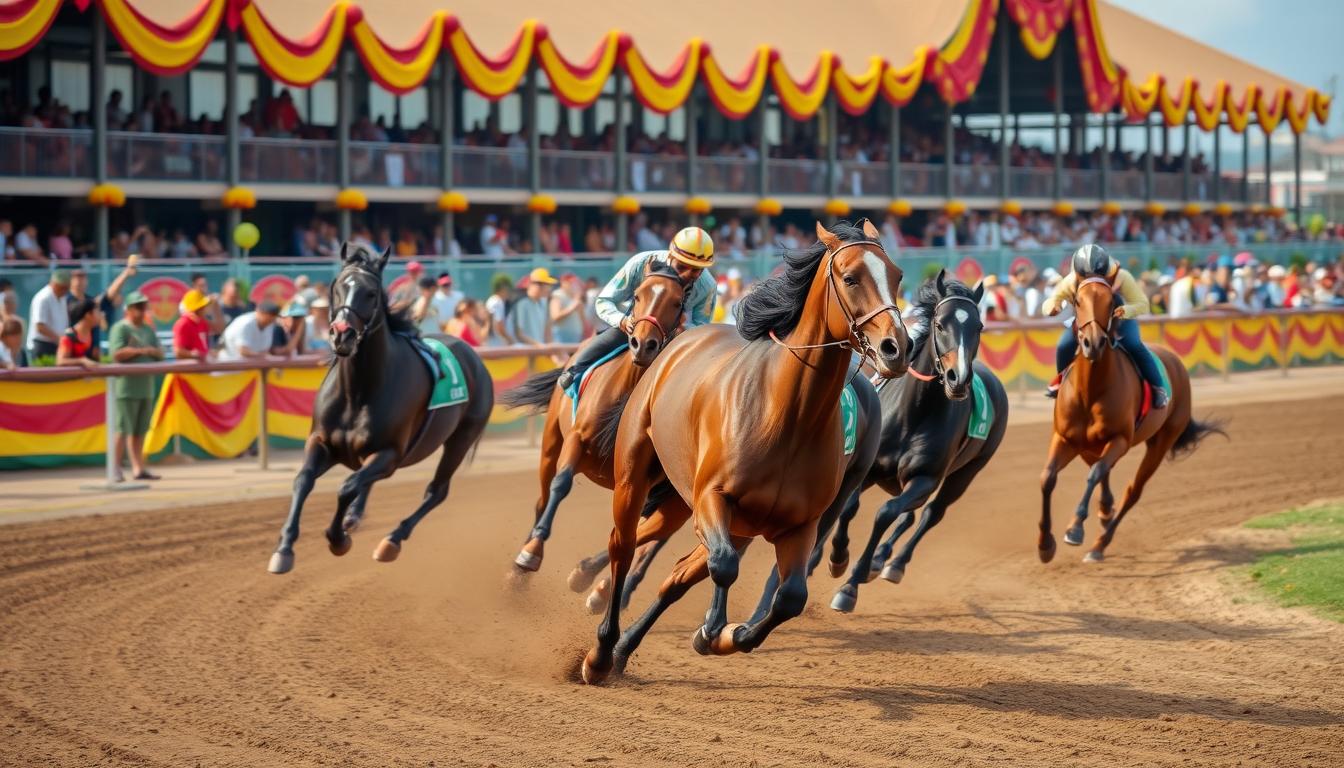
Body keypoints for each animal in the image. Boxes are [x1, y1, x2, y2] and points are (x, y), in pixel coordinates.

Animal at [264, 243, 491, 572]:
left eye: (371, 293)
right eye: (336, 287)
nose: (341, 334)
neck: (358, 391)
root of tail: (474, 357)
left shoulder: (389, 454)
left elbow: (346, 487)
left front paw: (338, 539)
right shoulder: (323, 442)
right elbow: (303, 480)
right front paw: (284, 549)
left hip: (461, 438)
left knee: (436, 491)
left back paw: (391, 540)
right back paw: (355, 517)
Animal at [505, 259, 693, 575]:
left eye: (677, 302)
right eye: (637, 295)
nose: (643, 344)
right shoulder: (577, 438)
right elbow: (561, 483)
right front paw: (531, 552)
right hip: (551, 441)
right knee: (543, 496)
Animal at [580, 220, 908, 685]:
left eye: (896, 276)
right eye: (850, 278)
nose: (896, 348)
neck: (788, 416)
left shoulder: (799, 525)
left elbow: (789, 597)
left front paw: (723, 634)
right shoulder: (712, 498)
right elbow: (723, 566)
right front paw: (712, 629)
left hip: (717, 515)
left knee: (676, 573)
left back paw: (624, 647)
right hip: (636, 473)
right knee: (623, 546)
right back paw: (601, 652)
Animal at [817, 270, 1010, 613]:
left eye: (979, 326)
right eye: (940, 324)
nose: (958, 379)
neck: (914, 414)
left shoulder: (925, 478)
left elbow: (886, 513)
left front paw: (851, 585)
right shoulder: (870, 470)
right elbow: (851, 506)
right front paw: (838, 557)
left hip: (965, 473)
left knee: (930, 513)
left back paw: (894, 563)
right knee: (908, 515)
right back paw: (880, 559)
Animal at [1037, 273, 1231, 562]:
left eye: (1111, 301)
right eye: (1077, 301)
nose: (1093, 343)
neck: (1090, 390)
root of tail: (1176, 361)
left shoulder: (1120, 439)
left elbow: (1095, 474)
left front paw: (1075, 528)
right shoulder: (1066, 438)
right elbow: (1048, 477)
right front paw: (1045, 545)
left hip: (1161, 442)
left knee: (1132, 490)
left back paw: (1099, 545)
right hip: (1089, 446)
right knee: (1104, 471)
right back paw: (1105, 512)